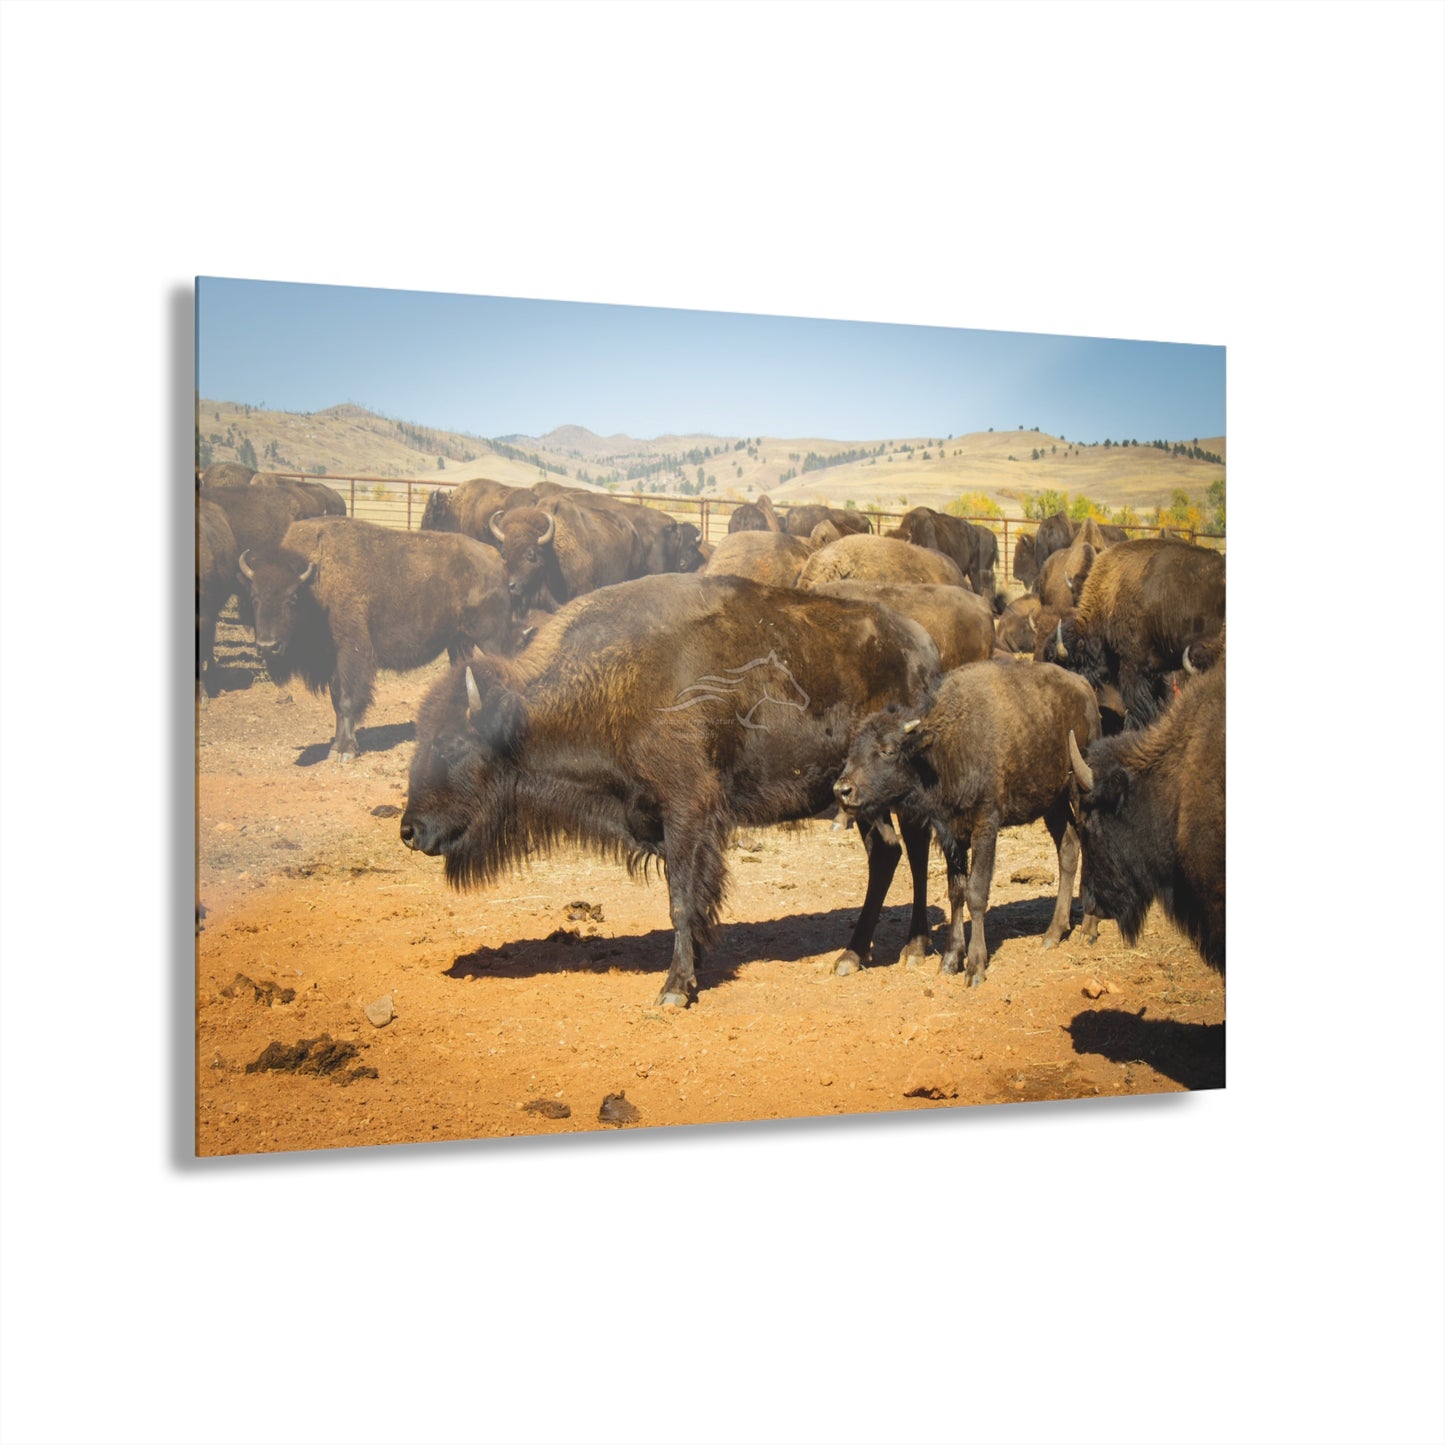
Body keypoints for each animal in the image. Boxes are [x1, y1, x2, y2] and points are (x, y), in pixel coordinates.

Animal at [237, 518, 514, 760]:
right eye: (254, 596)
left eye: (292, 597)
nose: (268, 647)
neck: (317, 579)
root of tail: (496, 559)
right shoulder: (332, 663)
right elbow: (336, 702)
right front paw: (337, 746)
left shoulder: (351, 654)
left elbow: (347, 700)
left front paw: (345, 751)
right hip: (458, 642)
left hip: (490, 639)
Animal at [399, 573, 943, 1006]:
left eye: (451, 744)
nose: (409, 830)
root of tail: (924, 645)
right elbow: (692, 900)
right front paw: (694, 967)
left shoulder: (688, 812)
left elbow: (681, 899)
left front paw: (675, 988)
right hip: (860, 798)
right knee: (887, 852)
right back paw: (853, 954)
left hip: (899, 793)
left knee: (914, 849)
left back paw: (912, 949)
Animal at [833, 662, 1102, 985]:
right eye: (852, 750)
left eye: (887, 750)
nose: (842, 790)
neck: (947, 744)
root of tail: (1084, 686)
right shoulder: (952, 833)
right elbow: (956, 891)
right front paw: (950, 960)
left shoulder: (985, 824)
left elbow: (976, 891)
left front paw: (975, 967)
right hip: (1053, 802)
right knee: (1069, 848)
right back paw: (1053, 933)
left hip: (1079, 788)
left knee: (1091, 843)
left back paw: (1088, 929)